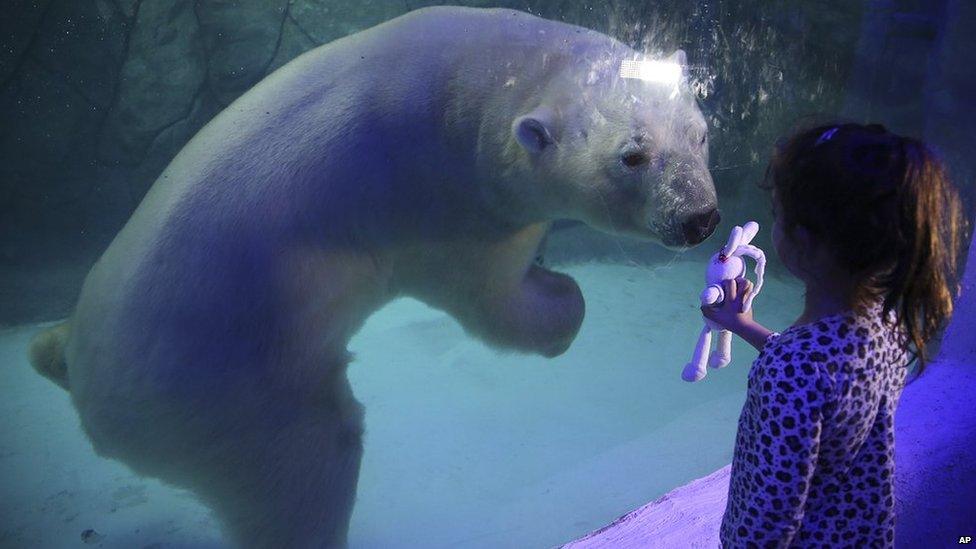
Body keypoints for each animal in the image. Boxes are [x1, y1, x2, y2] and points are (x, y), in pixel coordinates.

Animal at [30, 5, 716, 548]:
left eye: (699, 133)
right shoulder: (446, 198)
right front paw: (560, 299)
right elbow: (486, 296)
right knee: (307, 468)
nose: (699, 217)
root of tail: (89, 382)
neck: (483, 79)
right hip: (229, 391)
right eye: (632, 157)